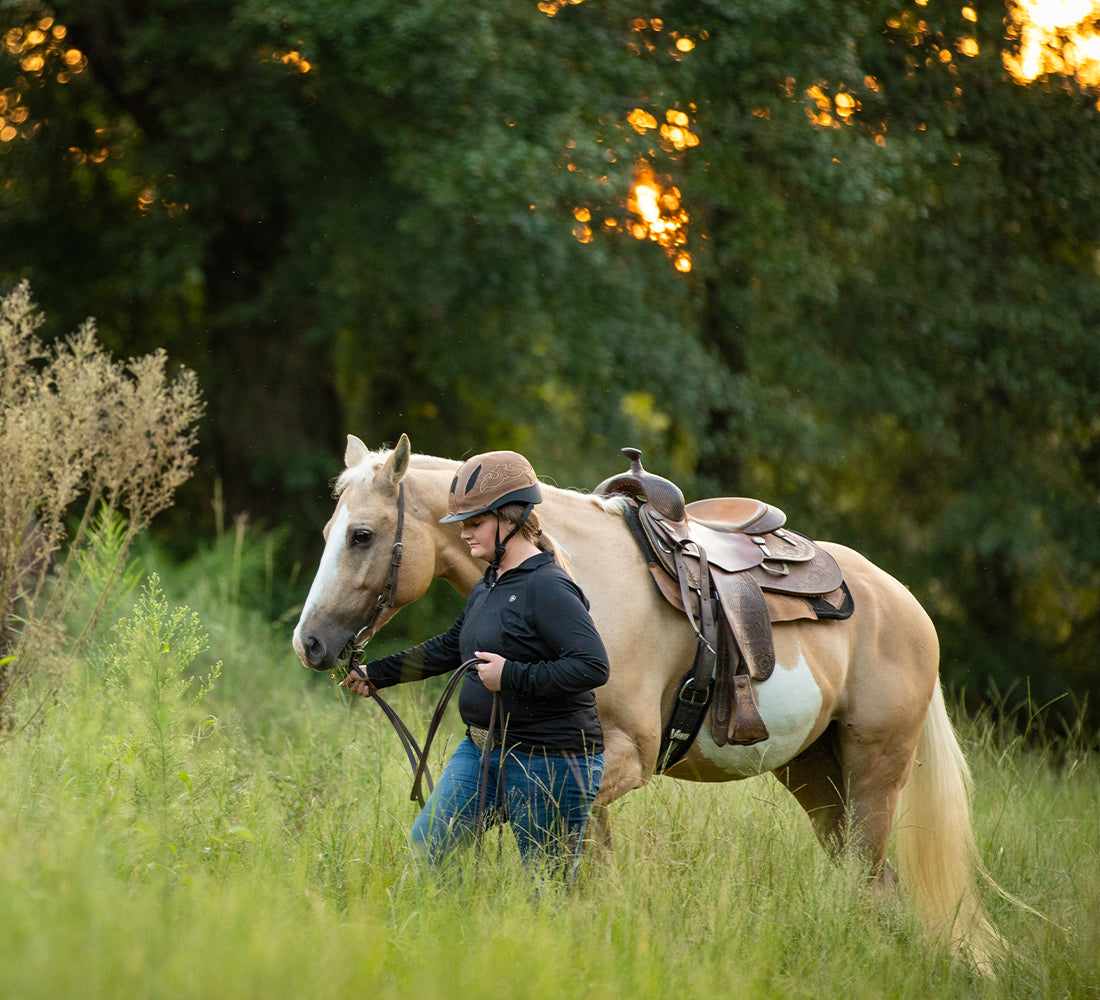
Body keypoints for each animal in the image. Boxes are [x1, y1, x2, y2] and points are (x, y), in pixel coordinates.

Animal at [292, 433, 1004, 970]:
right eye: (328, 529)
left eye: (361, 535)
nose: (311, 643)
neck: (585, 577)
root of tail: (907, 605)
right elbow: (589, 871)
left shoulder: (619, 760)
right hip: (817, 776)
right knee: (876, 886)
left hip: (874, 772)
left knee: (868, 882)